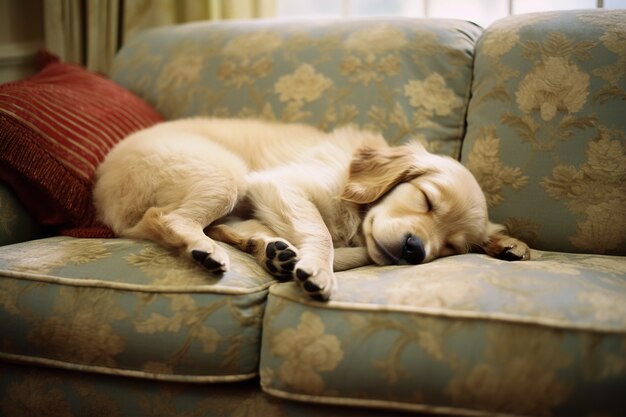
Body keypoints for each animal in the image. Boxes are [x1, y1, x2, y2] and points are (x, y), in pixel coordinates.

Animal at [95, 117, 528, 300]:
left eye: (452, 247)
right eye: (426, 199)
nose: (414, 249)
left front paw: (510, 245)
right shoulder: (280, 184)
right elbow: (322, 235)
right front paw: (318, 269)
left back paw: (267, 250)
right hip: (226, 174)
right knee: (167, 218)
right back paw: (208, 251)